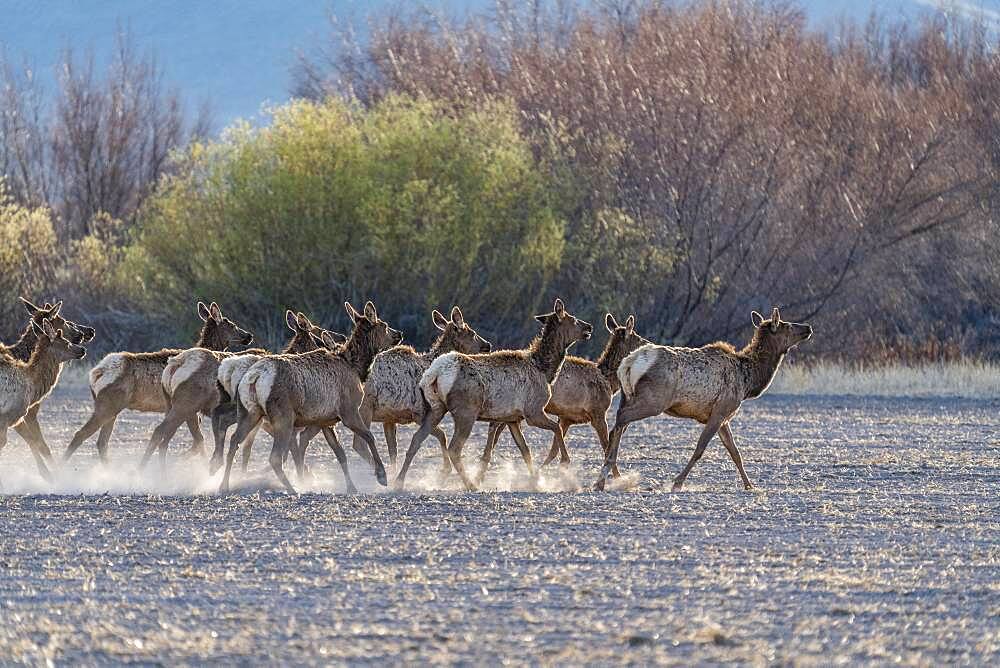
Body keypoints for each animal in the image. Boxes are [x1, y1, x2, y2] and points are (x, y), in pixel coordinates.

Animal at [63, 302, 254, 464]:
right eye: (231, 324)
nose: (249, 335)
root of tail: (95, 374)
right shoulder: (188, 408)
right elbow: (196, 440)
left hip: (113, 409)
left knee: (102, 442)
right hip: (108, 405)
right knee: (81, 434)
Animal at [223, 300, 402, 494]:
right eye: (384, 325)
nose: (399, 334)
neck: (355, 368)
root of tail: (255, 377)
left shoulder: (326, 421)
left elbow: (341, 454)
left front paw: (352, 487)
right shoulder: (348, 410)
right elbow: (369, 436)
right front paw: (382, 476)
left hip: (249, 412)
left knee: (234, 441)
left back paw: (223, 484)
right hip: (283, 416)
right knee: (274, 456)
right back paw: (292, 489)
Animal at [392, 298, 592, 490]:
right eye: (574, 319)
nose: (589, 327)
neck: (545, 370)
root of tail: (433, 373)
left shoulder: (512, 418)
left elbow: (525, 450)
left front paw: (536, 481)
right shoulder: (533, 411)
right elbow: (557, 428)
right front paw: (565, 463)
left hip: (436, 408)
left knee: (417, 439)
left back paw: (399, 481)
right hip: (466, 412)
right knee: (454, 448)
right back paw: (470, 484)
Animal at [480, 314, 652, 480]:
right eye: (639, 339)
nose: (649, 343)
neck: (608, 381)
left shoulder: (566, 417)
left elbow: (554, 449)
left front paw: (544, 471)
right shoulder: (597, 412)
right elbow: (606, 446)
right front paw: (617, 477)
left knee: (498, 425)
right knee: (495, 425)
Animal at [596, 308, 808, 490]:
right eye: (787, 325)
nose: (808, 328)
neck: (748, 380)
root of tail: (628, 364)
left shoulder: (724, 417)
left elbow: (735, 452)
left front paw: (749, 485)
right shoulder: (720, 411)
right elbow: (700, 448)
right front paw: (677, 483)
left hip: (627, 396)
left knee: (617, 425)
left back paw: (607, 476)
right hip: (654, 401)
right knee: (620, 420)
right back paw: (603, 477)